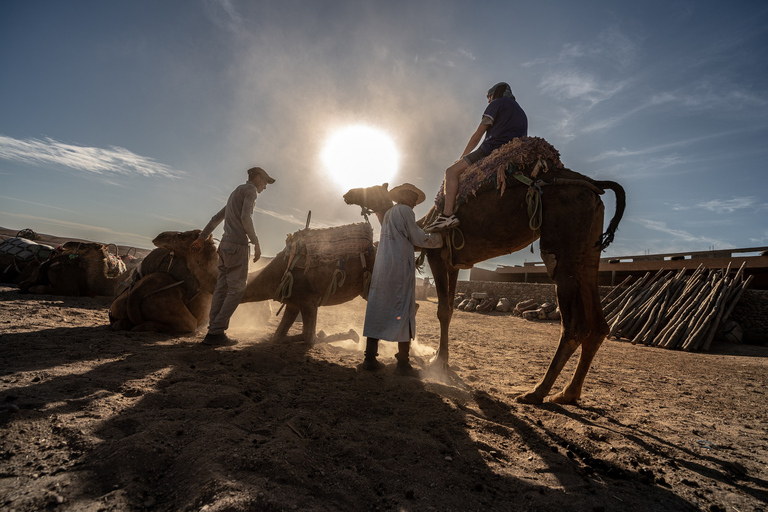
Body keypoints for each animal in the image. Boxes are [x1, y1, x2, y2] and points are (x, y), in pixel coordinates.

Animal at [344, 137, 628, 404]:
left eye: (370, 188)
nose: (348, 193)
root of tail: (594, 185)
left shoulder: (437, 255)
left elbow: (441, 309)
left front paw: (439, 364)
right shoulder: (454, 263)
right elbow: (448, 311)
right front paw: (441, 359)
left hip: (562, 243)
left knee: (573, 324)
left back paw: (536, 392)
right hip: (590, 247)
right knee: (598, 323)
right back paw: (568, 393)